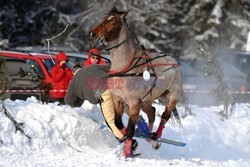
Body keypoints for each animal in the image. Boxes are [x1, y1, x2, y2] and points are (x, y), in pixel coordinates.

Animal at [89, 6, 182, 158]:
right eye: (104, 18)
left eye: (114, 22)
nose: (93, 34)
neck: (125, 66)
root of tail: (175, 62)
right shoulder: (118, 99)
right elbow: (118, 123)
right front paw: (127, 140)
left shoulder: (134, 102)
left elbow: (130, 130)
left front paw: (128, 153)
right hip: (146, 100)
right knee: (152, 112)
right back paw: (149, 137)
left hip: (171, 96)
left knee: (165, 115)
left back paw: (156, 136)